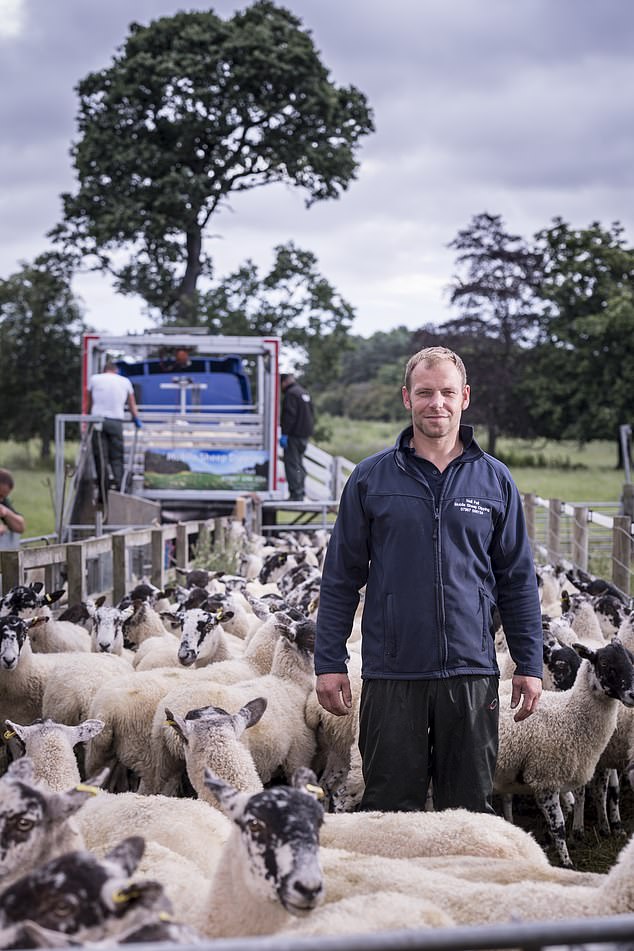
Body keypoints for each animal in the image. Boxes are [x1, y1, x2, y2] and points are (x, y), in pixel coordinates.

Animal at [494, 640, 632, 872]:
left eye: (630, 661)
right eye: (604, 662)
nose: (632, 694)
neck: (570, 713)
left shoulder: (544, 778)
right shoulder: (545, 777)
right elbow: (558, 825)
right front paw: (567, 862)